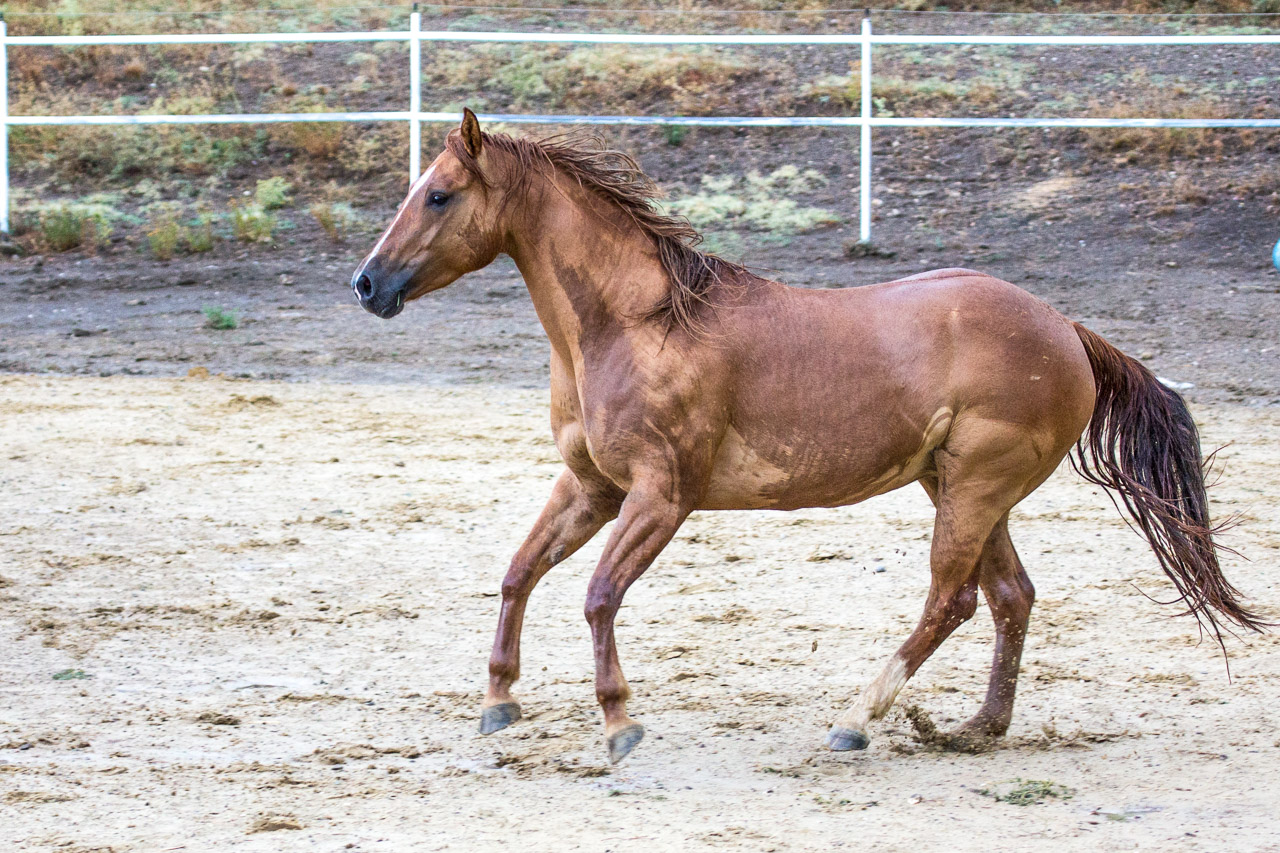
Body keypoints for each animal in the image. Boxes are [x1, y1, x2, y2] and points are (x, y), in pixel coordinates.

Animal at [350, 109, 1266, 764]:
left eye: (439, 194)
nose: (366, 284)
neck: (635, 323)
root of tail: (1068, 329)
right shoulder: (592, 487)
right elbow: (517, 574)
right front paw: (498, 703)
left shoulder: (662, 495)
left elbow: (599, 594)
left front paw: (619, 723)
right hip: (963, 486)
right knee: (1010, 596)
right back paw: (974, 728)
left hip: (974, 487)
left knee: (953, 599)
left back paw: (857, 719)